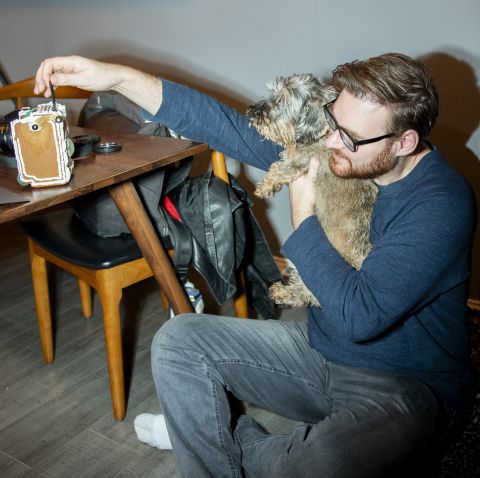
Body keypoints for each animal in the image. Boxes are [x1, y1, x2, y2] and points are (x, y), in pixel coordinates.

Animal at [248, 73, 378, 308]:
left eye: (281, 101)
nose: (252, 111)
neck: (324, 134)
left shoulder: (302, 163)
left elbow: (280, 169)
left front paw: (265, 187)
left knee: (301, 294)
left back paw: (281, 292)